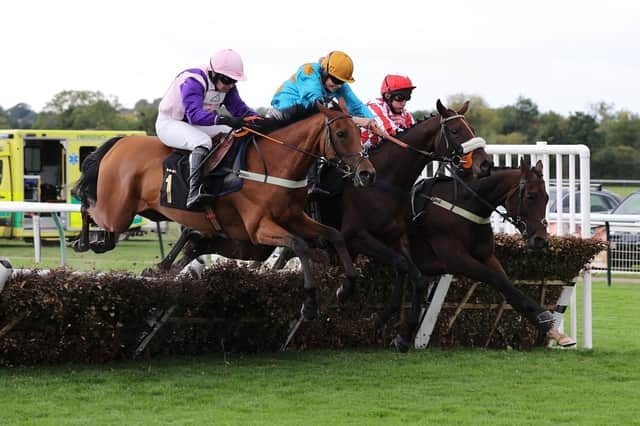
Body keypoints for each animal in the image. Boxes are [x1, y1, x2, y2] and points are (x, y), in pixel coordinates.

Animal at [72, 100, 378, 320]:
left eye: (359, 132)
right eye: (341, 134)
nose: (367, 173)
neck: (274, 164)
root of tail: (120, 140)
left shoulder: (294, 217)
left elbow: (334, 235)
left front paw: (346, 287)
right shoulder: (258, 228)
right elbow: (299, 245)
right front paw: (310, 303)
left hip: (146, 211)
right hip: (117, 211)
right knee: (88, 206)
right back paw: (86, 241)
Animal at [404, 161, 580, 348]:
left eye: (546, 197)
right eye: (530, 196)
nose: (540, 240)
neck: (465, 206)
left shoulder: (487, 257)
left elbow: (508, 286)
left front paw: (553, 331)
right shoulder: (456, 260)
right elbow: (498, 280)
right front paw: (545, 318)